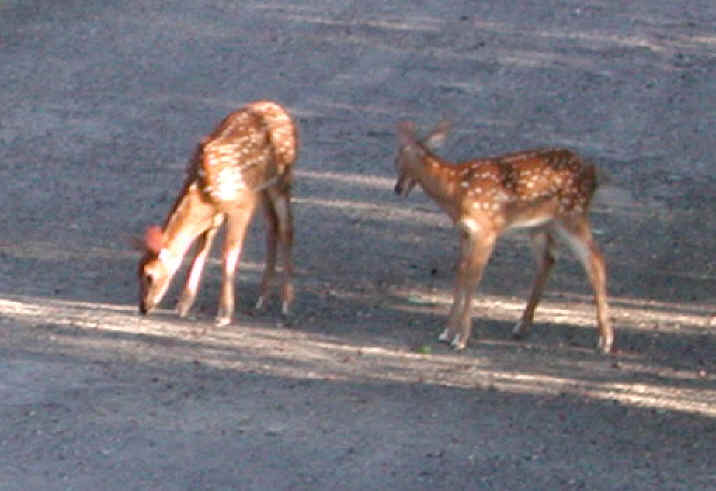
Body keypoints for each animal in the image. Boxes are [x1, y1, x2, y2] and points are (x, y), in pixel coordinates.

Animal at [136, 100, 298, 327]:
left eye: (149, 275)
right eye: (138, 272)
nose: (143, 307)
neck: (202, 190)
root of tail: (282, 111)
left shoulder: (242, 203)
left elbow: (228, 254)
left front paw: (224, 314)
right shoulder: (215, 214)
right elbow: (201, 250)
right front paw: (184, 305)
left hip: (282, 178)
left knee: (286, 227)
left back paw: (286, 303)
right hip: (263, 188)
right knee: (272, 225)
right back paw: (262, 299)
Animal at [393, 120, 614, 354]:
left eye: (403, 160)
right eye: (396, 160)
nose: (398, 188)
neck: (455, 190)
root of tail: (593, 172)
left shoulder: (487, 230)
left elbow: (472, 278)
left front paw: (461, 338)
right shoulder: (465, 232)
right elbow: (461, 273)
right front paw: (447, 333)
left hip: (572, 213)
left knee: (595, 260)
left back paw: (605, 340)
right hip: (541, 224)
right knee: (549, 259)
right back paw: (521, 326)